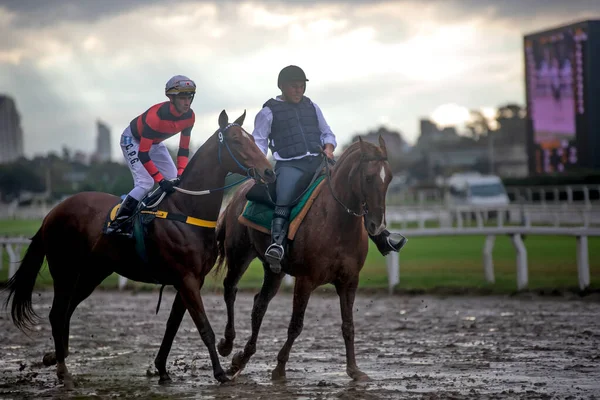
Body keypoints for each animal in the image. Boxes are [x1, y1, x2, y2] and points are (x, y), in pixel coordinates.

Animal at [1, 109, 274, 388]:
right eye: (236, 140)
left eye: (252, 138)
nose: (268, 171)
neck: (186, 211)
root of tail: (52, 212)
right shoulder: (185, 279)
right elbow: (204, 327)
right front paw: (219, 373)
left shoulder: (191, 280)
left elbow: (172, 325)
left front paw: (162, 369)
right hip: (64, 269)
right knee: (57, 314)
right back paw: (63, 371)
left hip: (93, 272)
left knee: (67, 310)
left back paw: (55, 356)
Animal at [213, 138, 392, 382]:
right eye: (369, 177)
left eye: (389, 178)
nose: (377, 225)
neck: (336, 222)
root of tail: (237, 194)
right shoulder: (305, 280)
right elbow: (296, 325)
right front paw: (279, 368)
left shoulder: (349, 282)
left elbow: (348, 325)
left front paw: (354, 369)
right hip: (239, 255)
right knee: (230, 289)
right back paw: (227, 345)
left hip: (274, 270)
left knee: (259, 304)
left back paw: (241, 359)